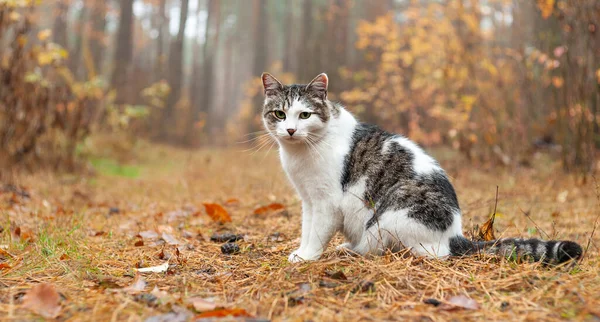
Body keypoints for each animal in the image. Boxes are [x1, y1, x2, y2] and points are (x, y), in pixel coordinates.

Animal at [260, 72, 584, 264]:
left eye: (305, 115)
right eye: (279, 114)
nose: (290, 130)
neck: (299, 153)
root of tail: (455, 235)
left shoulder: (327, 202)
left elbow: (318, 233)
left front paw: (307, 257)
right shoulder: (308, 200)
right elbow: (307, 229)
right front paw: (300, 252)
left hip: (389, 212)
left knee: (407, 250)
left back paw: (358, 251)